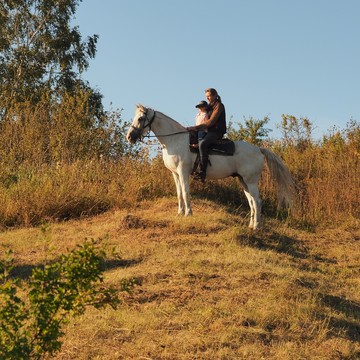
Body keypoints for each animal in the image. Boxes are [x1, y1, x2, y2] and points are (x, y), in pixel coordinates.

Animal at [125, 104, 294, 229]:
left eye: (140, 118)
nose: (129, 137)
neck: (175, 140)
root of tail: (258, 149)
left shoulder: (183, 171)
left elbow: (186, 192)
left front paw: (188, 214)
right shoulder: (175, 174)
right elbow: (179, 193)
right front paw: (179, 213)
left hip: (251, 181)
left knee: (257, 201)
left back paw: (257, 227)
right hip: (243, 181)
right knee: (252, 201)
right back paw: (251, 225)